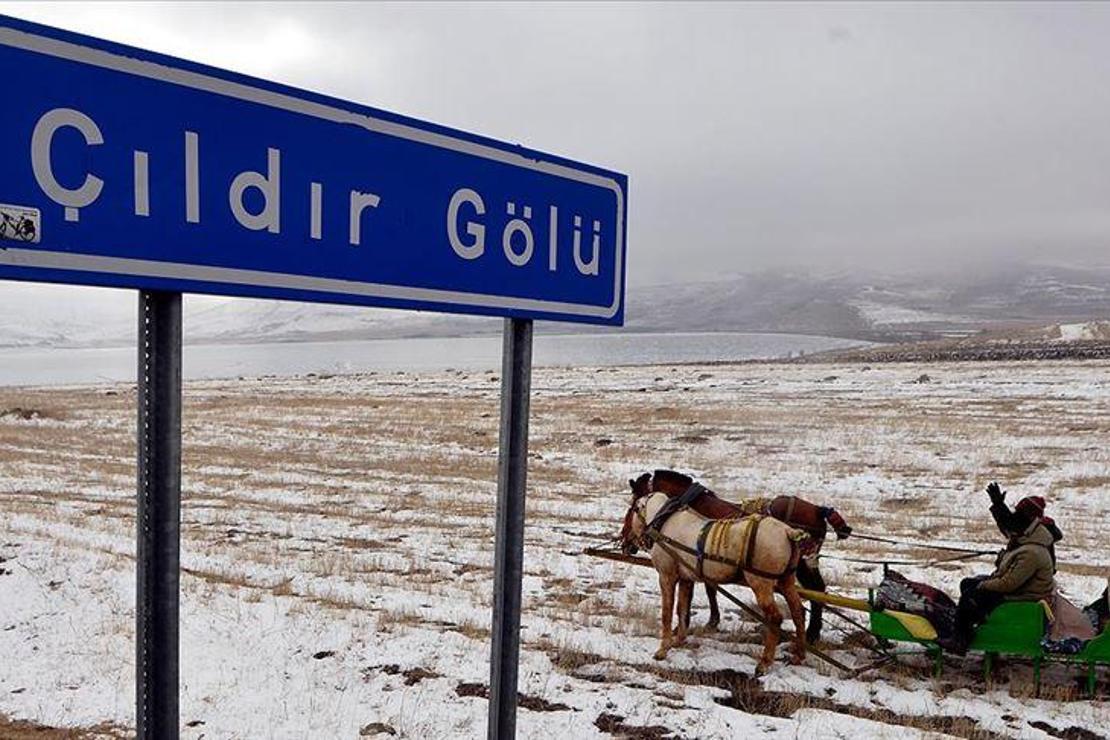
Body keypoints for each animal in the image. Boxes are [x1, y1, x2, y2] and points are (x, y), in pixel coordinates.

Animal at [617, 488, 808, 674]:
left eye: (630, 511)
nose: (623, 541)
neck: (664, 524)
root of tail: (788, 532)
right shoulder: (686, 579)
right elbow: (682, 609)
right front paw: (679, 640)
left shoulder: (666, 576)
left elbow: (667, 612)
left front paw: (663, 649)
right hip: (786, 581)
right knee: (798, 612)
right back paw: (799, 655)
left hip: (761, 583)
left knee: (775, 618)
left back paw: (765, 662)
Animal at [634, 474, 848, 643]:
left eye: (635, 500)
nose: (632, 543)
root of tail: (819, 510)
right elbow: (710, 588)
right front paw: (710, 620)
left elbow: (707, 589)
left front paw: (707, 621)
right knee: (818, 589)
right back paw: (812, 633)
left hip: (803, 564)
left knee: (816, 589)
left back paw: (811, 634)